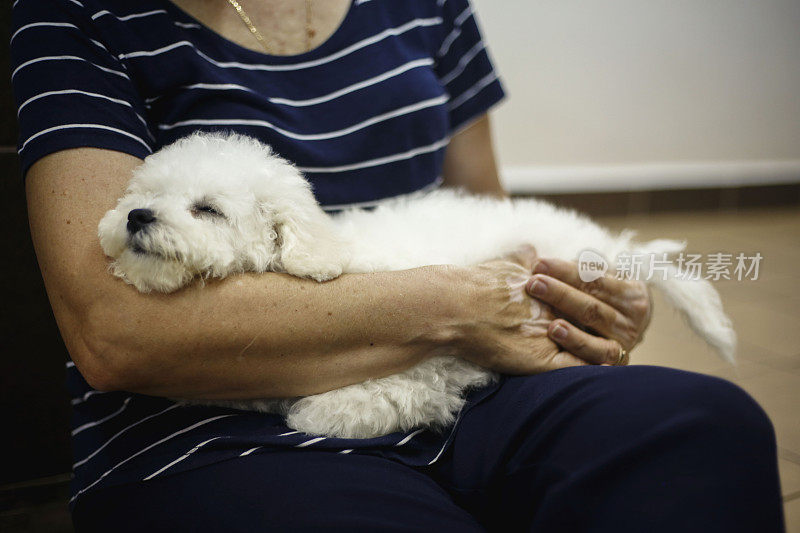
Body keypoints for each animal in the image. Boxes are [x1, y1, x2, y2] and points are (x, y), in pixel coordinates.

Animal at [98, 132, 736, 436]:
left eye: (207, 209)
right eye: (142, 193)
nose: (136, 217)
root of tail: (604, 244)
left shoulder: (431, 367)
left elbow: (380, 397)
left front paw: (319, 412)